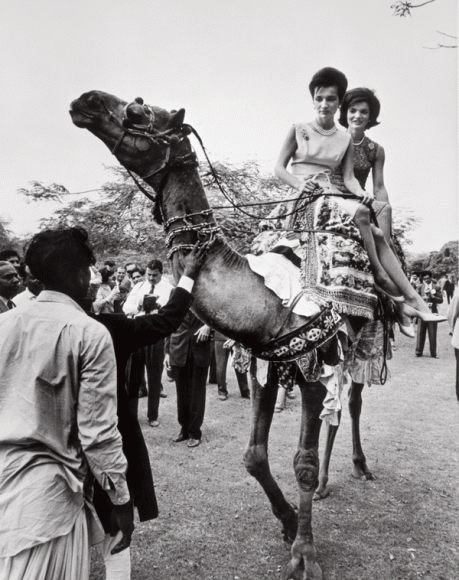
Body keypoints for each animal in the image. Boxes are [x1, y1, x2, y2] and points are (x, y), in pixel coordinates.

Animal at [69, 89, 380, 576]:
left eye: (139, 110)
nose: (86, 100)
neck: (267, 300)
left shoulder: (312, 362)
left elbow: (303, 463)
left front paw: (304, 555)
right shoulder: (263, 361)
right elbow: (253, 456)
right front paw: (287, 522)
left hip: (358, 344)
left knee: (351, 401)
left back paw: (357, 468)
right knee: (341, 407)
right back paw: (331, 483)